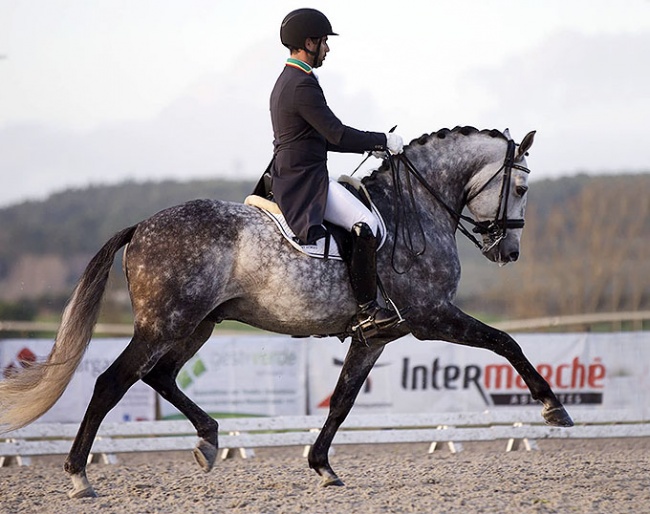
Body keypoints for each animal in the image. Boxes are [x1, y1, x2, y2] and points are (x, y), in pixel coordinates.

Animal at [0, 125, 568, 496]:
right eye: (520, 188)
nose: (507, 252)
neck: (415, 209)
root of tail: (141, 226)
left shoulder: (375, 336)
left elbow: (342, 401)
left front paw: (322, 466)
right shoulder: (431, 316)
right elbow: (506, 341)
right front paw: (552, 408)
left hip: (197, 326)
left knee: (159, 376)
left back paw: (209, 440)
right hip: (165, 323)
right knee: (112, 382)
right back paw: (79, 475)